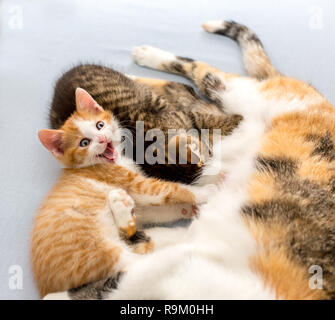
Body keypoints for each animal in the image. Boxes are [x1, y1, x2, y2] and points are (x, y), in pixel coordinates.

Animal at [30, 87, 213, 298]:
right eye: (84, 142)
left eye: (99, 125)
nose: (102, 139)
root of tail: (46, 288)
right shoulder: (134, 184)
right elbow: (171, 188)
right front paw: (206, 191)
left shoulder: (139, 203)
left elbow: (156, 211)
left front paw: (187, 209)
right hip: (102, 256)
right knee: (142, 265)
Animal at [48, 62, 243, 184]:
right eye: (209, 152)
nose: (212, 153)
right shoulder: (182, 116)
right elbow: (204, 118)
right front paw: (237, 119)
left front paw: (238, 118)